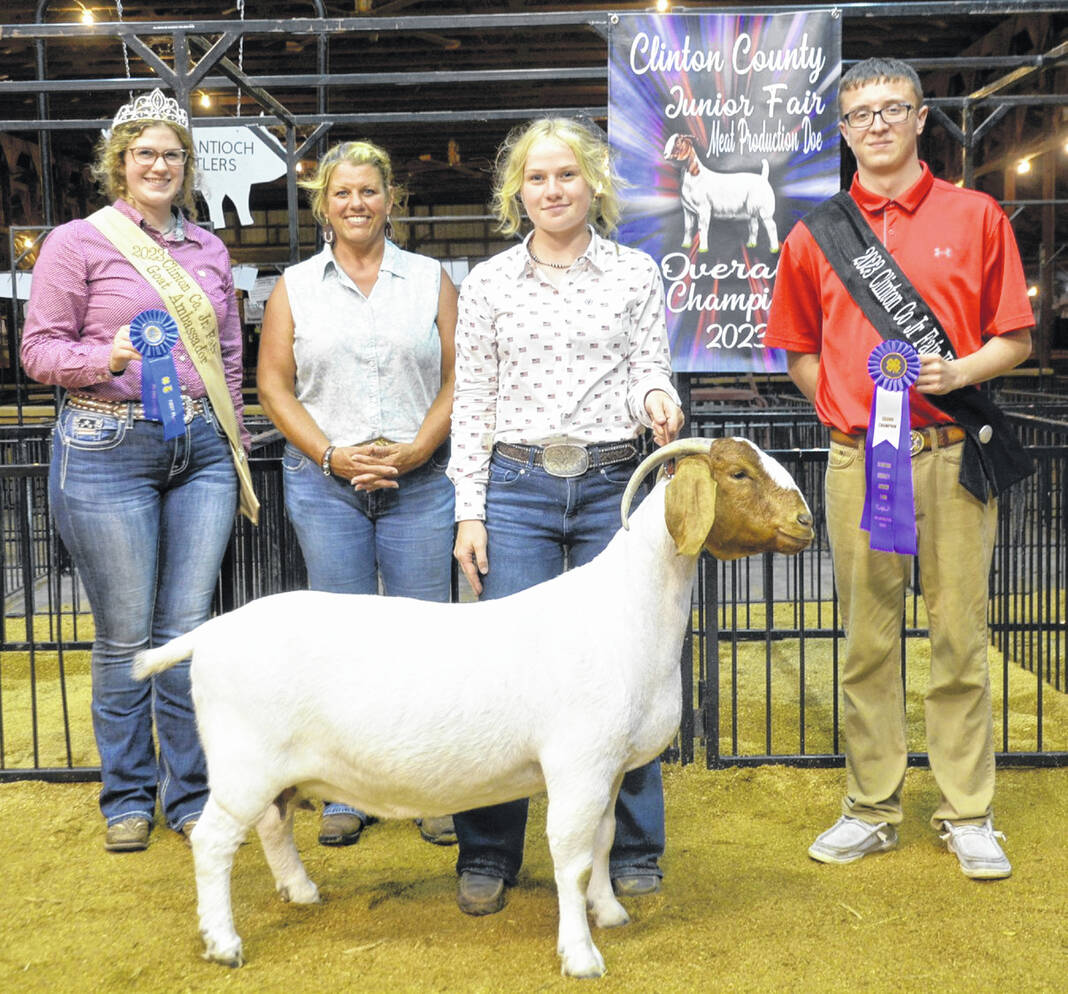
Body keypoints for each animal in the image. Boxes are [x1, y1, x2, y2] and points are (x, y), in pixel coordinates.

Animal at [137, 437, 811, 977]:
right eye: (739, 473)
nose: (806, 521)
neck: (626, 609)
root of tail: (210, 633)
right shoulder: (578, 763)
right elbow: (571, 856)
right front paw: (580, 954)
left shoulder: (610, 768)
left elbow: (602, 842)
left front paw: (611, 912)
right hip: (243, 763)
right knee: (215, 842)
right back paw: (224, 943)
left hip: (275, 767)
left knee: (275, 824)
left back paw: (301, 893)